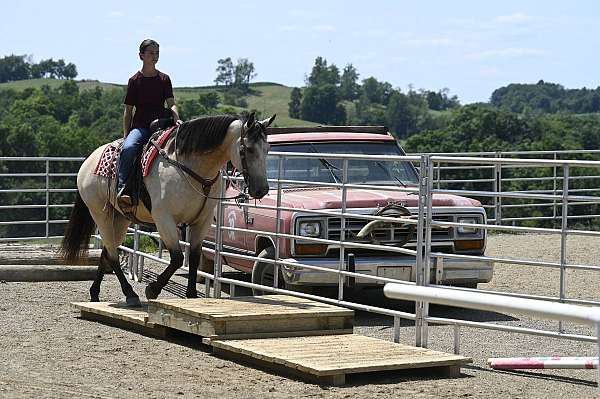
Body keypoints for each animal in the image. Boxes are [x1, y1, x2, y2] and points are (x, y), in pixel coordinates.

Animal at [58, 114, 274, 308]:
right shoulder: (164, 219)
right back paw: (130, 294)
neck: (191, 168)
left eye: (267, 149)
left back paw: (95, 292)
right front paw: (152, 289)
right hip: (101, 214)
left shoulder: (201, 221)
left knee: (107, 252)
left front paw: (191, 296)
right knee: (112, 254)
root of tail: (88, 161)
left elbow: (193, 257)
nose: (261, 190)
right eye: (248, 148)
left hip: (120, 218)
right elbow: (178, 258)